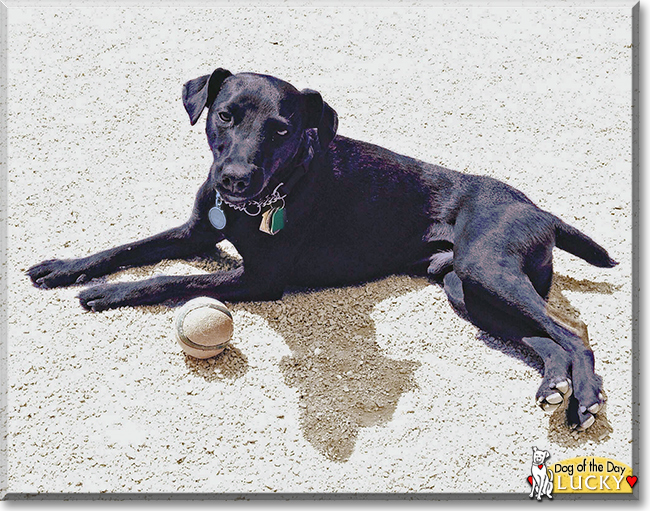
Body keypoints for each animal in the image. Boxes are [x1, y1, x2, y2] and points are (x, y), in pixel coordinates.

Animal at [27, 69, 616, 432]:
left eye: (281, 130)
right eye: (225, 115)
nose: (234, 179)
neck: (263, 199)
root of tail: (540, 210)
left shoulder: (259, 280)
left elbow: (171, 278)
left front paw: (108, 293)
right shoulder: (195, 231)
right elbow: (127, 246)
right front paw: (67, 267)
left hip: (486, 269)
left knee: (573, 333)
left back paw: (585, 399)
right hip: (465, 290)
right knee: (545, 339)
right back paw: (554, 385)